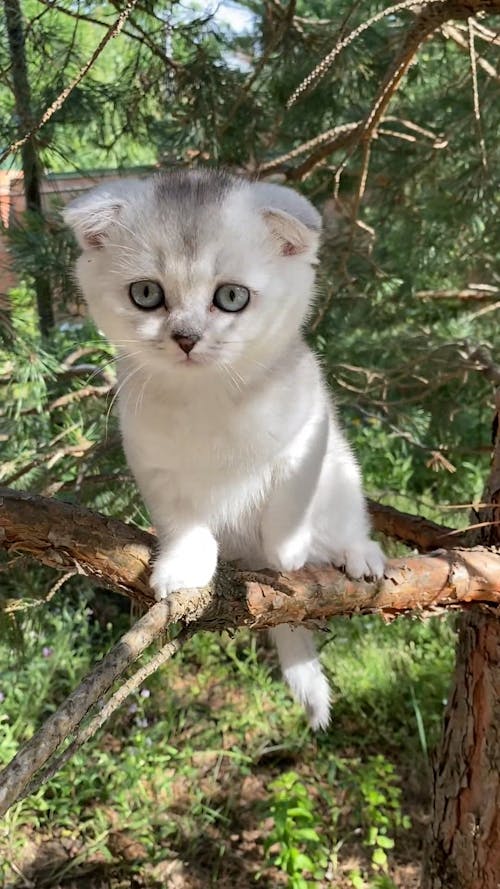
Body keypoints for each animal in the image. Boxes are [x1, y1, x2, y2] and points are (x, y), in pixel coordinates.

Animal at [64, 168, 384, 728]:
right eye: (146, 293)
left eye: (232, 297)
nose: (186, 337)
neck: (209, 395)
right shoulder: (151, 461)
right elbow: (183, 520)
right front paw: (184, 567)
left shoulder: (310, 431)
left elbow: (289, 497)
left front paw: (288, 550)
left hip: (344, 476)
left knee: (344, 519)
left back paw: (355, 552)